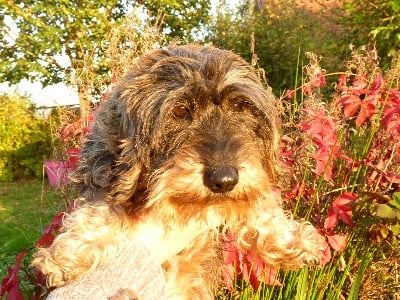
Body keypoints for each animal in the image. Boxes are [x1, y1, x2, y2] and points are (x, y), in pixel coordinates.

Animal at [32, 43, 326, 298]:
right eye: (180, 111)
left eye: (240, 107)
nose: (224, 179)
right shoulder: (102, 173)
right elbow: (100, 207)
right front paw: (70, 255)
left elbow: (261, 203)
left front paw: (292, 241)